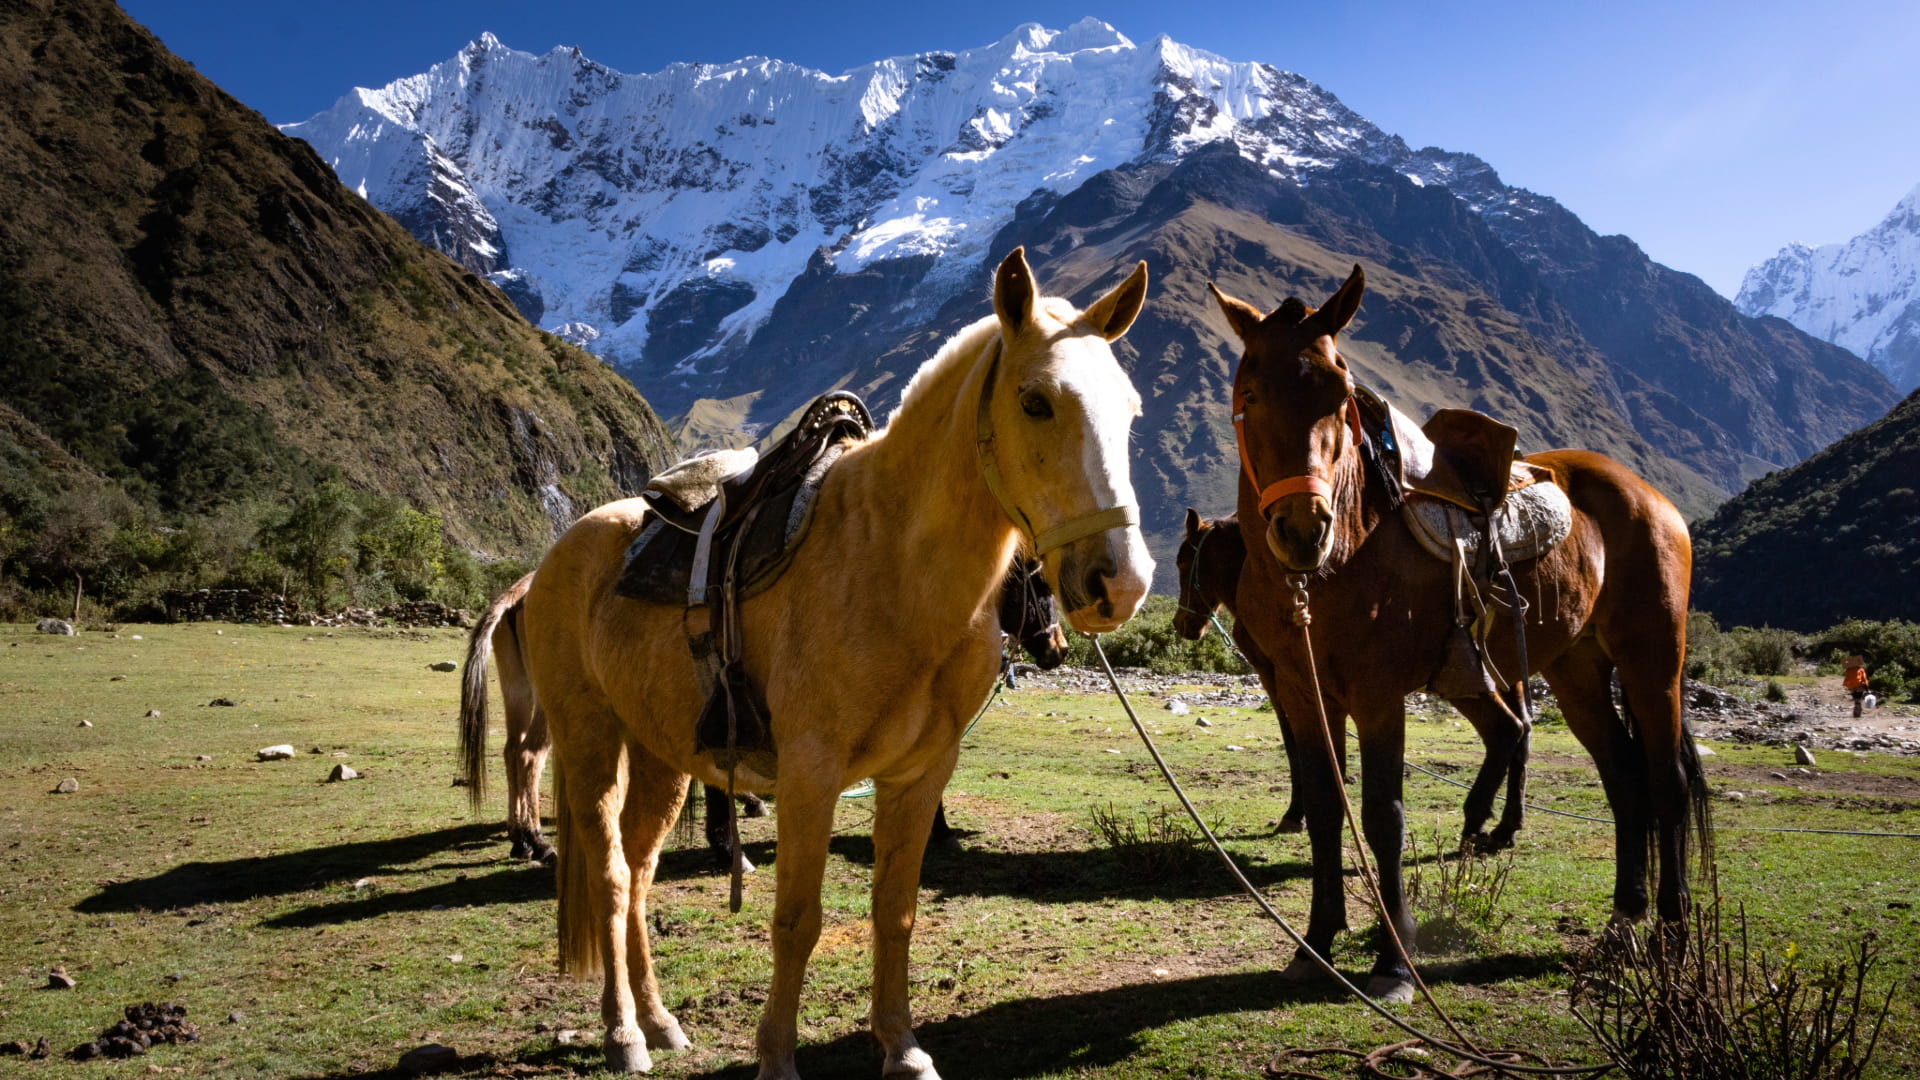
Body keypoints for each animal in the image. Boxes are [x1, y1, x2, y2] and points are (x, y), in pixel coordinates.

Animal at [457, 557, 1069, 866]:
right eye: (1039, 584)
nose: (1058, 650)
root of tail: (516, 591)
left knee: (516, 754)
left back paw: (525, 838)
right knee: (530, 756)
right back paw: (535, 840)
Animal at [519, 247, 1154, 1077]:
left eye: (1131, 410)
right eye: (1037, 401)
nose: (1121, 583)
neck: (890, 565)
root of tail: (556, 557)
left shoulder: (919, 774)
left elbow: (897, 911)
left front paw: (902, 1047)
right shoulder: (810, 774)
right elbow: (798, 919)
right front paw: (777, 1059)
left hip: (660, 754)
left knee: (639, 873)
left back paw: (658, 1021)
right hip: (590, 740)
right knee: (610, 872)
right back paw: (624, 1032)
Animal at [1172, 510, 1529, 847]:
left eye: (1182, 562)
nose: (1181, 624)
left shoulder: (1277, 676)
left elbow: (1291, 739)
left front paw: (1296, 814)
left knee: (1510, 730)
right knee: (1522, 733)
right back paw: (1507, 828)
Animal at [1211, 265, 1709, 1003]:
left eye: (1339, 395)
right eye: (1249, 392)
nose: (1303, 530)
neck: (1347, 552)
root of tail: (1652, 498)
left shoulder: (1378, 693)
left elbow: (1383, 815)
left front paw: (1393, 962)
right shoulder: (1305, 693)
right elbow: (1327, 808)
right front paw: (1317, 943)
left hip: (1653, 662)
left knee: (1665, 784)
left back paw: (1670, 940)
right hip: (1578, 670)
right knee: (1623, 779)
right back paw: (1622, 923)